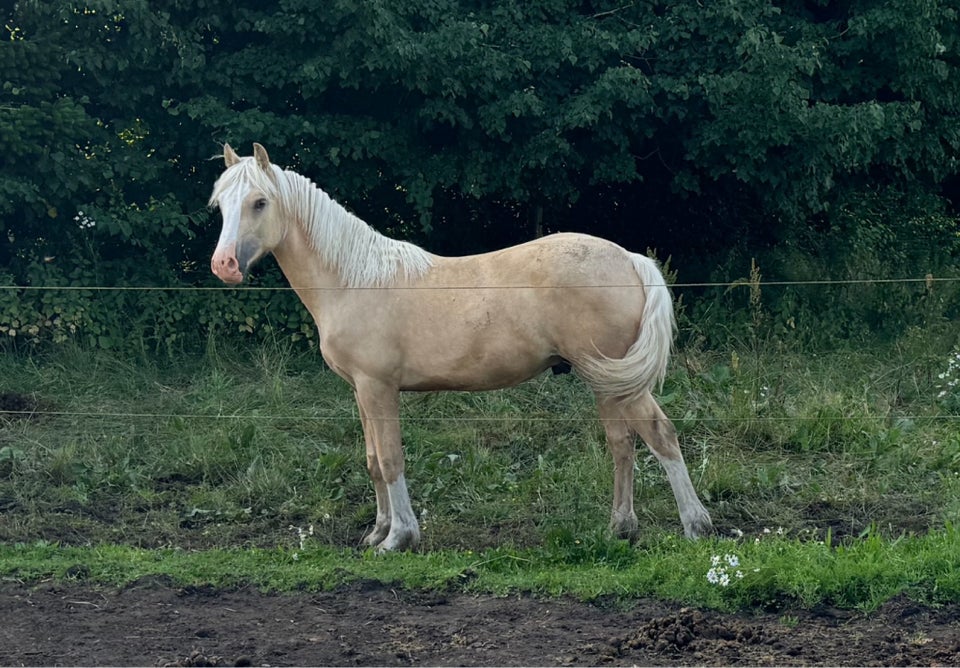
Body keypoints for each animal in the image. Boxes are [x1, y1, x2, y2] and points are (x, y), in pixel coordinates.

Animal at [210, 144, 712, 552]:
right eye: (221, 204)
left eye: (259, 202)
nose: (224, 265)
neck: (353, 279)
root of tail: (629, 258)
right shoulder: (360, 391)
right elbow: (372, 461)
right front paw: (376, 531)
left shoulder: (378, 388)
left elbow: (390, 459)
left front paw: (398, 539)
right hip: (608, 383)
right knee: (622, 444)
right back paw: (620, 529)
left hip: (618, 381)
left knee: (660, 435)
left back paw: (696, 526)